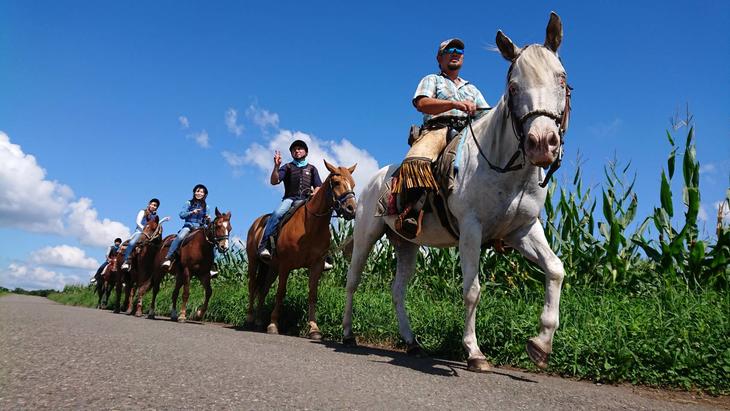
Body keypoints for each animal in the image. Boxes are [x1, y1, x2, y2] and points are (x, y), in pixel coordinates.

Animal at [245, 159, 356, 340]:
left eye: (353, 184)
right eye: (336, 182)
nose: (351, 209)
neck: (311, 225)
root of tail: (256, 223)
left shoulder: (316, 265)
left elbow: (312, 294)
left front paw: (314, 329)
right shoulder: (286, 265)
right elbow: (280, 293)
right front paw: (273, 324)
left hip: (271, 267)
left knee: (263, 289)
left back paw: (259, 321)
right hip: (254, 262)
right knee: (253, 286)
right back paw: (249, 318)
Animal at [344, 12, 572, 374]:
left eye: (562, 79)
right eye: (513, 86)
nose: (541, 143)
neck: (503, 167)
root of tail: (372, 181)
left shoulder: (523, 230)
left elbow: (555, 269)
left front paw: (540, 345)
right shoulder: (471, 229)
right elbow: (472, 290)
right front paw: (474, 352)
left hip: (406, 244)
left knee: (398, 290)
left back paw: (412, 343)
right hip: (367, 233)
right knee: (352, 280)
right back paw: (348, 334)